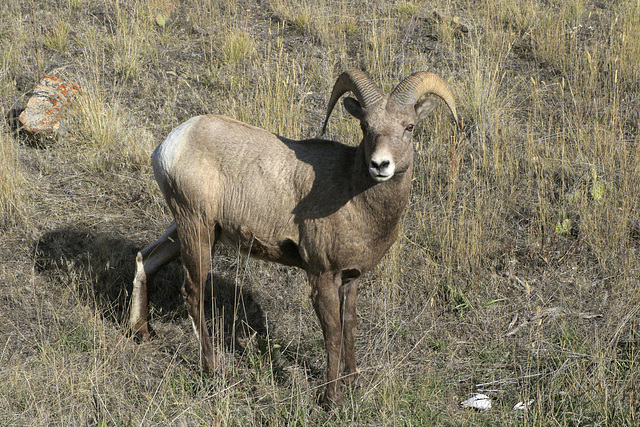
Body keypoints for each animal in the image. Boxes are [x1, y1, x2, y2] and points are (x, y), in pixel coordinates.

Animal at [130, 69, 458, 404]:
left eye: (409, 126)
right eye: (365, 127)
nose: (380, 165)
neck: (355, 198)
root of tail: (170, 145)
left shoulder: (351, 279)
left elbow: (350, 326)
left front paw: (354, 381)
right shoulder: (322, 277)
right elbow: (333, 333)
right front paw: (331, 399)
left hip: (189, 229)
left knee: (146, 259)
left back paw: (143, 333)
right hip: (197, 230)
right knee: (193, 293)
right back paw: (215, 370)